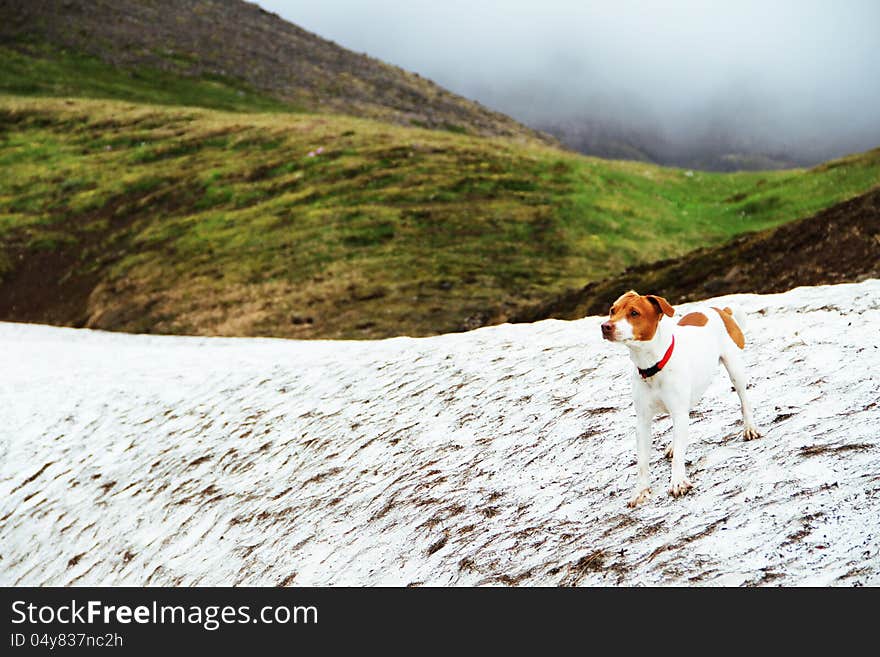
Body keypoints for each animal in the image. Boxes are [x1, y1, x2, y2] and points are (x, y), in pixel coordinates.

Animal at [600, 292, 760, 508]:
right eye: (612, 310)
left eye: (634, 313)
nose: (605, 326)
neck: (652, 366)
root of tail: (720, 310)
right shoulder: (643, 422)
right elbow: (642, 462)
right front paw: (641, 491)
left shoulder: (678, 411)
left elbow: (678, 457)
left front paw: (677, 482)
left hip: (735, 369)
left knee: (744, 399)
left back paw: (749, 427)